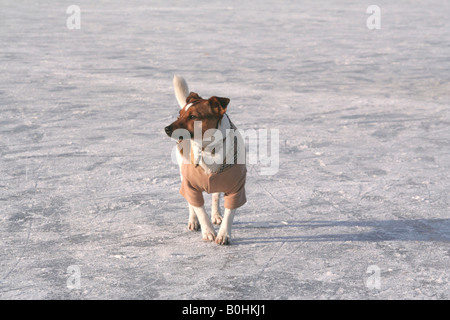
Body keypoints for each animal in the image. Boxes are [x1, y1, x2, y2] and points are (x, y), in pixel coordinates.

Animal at [163, 75, 246, 245]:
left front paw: (223, 234)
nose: (166, 129)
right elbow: (199, 209)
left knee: (215, 196)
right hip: (183, 174)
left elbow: (229, 213)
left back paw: (216, 214)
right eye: (179, 115)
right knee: (191, 204)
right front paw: (208, 231)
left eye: (193, 116)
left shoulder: (236, 187)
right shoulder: (191, 185)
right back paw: (193, 221)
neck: (209, 149)